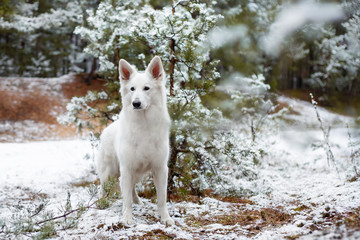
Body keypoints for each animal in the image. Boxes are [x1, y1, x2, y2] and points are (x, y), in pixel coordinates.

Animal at [95, 55, 174, 225]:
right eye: (132, 89)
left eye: (146, 88)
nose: (136, 103)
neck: (144, 125)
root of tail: (106, 130)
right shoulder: (127, 168)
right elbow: (126, 200)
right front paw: (127, 218)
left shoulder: (160, 169)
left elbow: (162, 199)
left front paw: (165, 218)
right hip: (109, 172)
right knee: (102, 188)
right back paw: (100, 202)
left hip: (136, 173)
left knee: (131, 188)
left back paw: (138, 201)